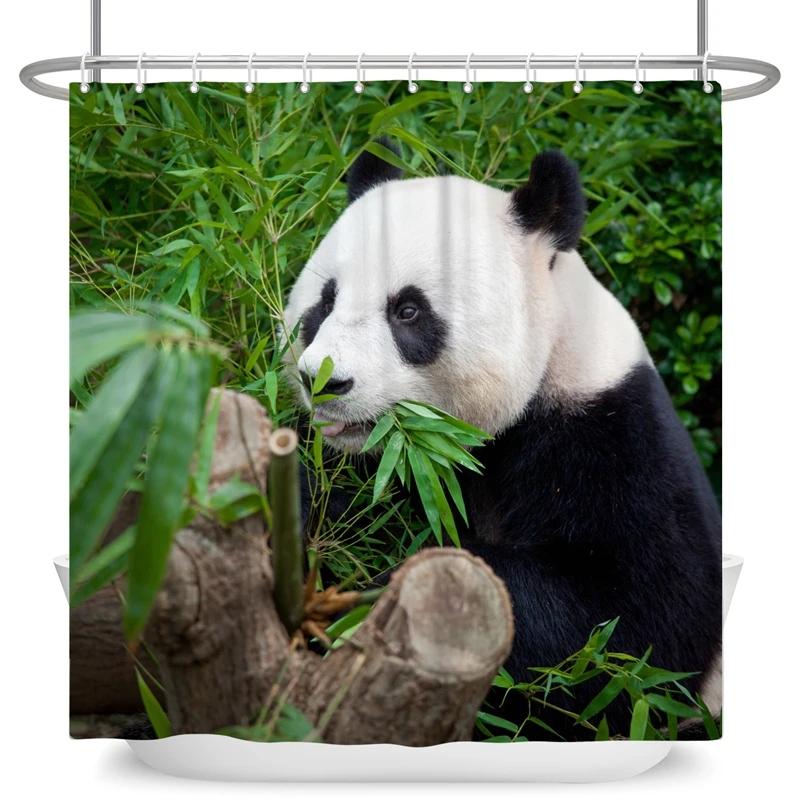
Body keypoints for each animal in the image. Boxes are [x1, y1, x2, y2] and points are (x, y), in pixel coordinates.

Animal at [282, 142, 722, 740]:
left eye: (408, 310)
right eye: (324, 303)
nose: (324, 381)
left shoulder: (618, 447)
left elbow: (631, 636)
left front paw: (381, 601)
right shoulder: (397, 466)